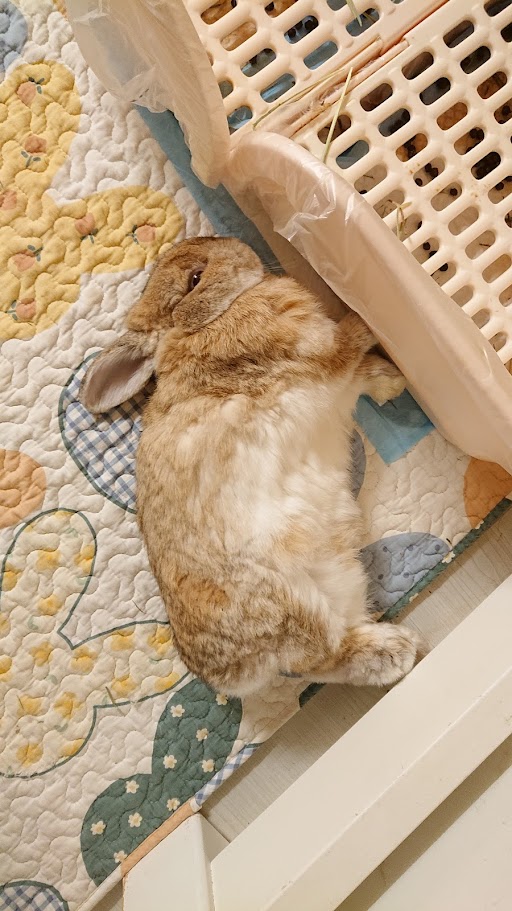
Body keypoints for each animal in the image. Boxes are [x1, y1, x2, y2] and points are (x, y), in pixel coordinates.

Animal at [81, 236, 421, 698]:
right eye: (195, 279)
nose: (237, 245)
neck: (202, 324)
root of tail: (224, 674)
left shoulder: (338, 388)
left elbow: (361, 376)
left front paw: (391, 380)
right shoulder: (321, 351)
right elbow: (350, 340)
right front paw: (366, 318)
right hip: (290, 605)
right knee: (323, 656)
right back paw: (396, 652)